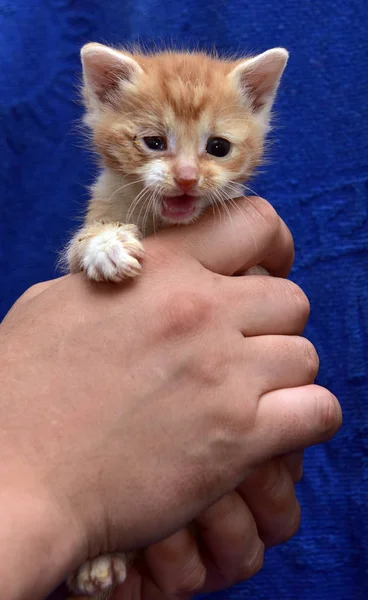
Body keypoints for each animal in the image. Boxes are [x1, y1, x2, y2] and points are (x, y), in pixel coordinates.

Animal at [65, 41, 288, 596]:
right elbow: (85, 241)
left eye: (218, 147)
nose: (187, 178)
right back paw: (98, 559)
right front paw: (105, 247)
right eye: (154, 142)